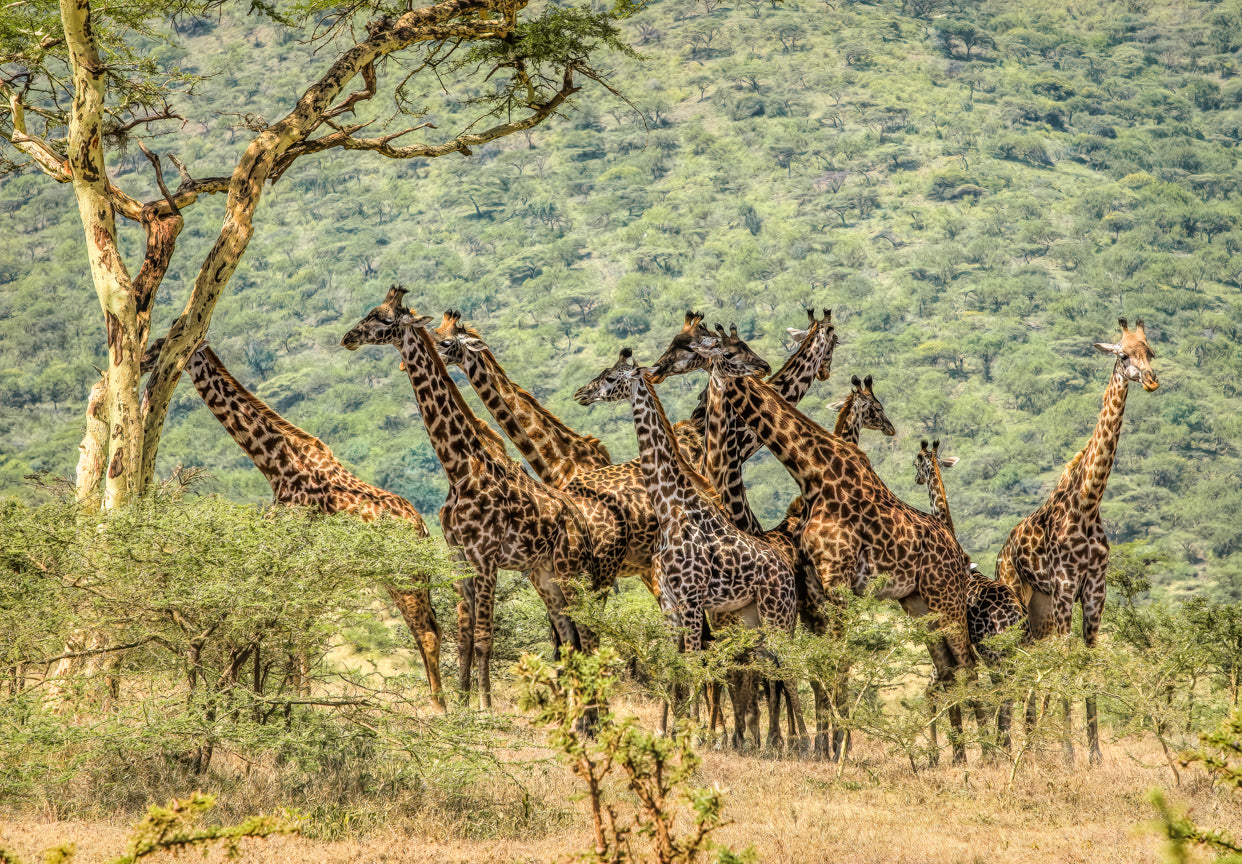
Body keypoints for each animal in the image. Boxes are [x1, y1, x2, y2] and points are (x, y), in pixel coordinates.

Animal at [148, 337, 447, 710]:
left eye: (164, 343)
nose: (145, 360)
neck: (277, 462)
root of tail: (422, 528)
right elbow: (298, 618)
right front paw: (295, 694)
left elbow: (295, 619)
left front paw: (298, 699)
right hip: (409, 576)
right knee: (432, 627)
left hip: (403, 576)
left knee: (426, 631)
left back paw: (439, 708)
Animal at [340, 288, 611, 710]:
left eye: (383, 319)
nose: (348, 337)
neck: (460, 468)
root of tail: (580, 524)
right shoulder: (458, 557)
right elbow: (464, 637)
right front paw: (462, 706)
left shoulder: (485, 557)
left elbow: (484, 636)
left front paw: (484, 707)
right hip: (545, 574)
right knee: (570, 637)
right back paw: (577, 705)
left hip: (573, 571)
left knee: (590, 634)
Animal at [573, 345, 799, 749]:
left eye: (612, 377)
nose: (583, 393)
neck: (669, 507)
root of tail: (788, 572)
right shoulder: (669, 602)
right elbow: (671, 664)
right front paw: (669, 730)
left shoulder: (692, 600)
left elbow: (694, 663)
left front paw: (695, 736)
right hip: (753, 618)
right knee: (770, 666)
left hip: (778, 615)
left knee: (790, 669)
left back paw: (811, 742)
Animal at [710, 364, 978, 764]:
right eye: (878, 407)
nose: (890, 427)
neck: (815, 474)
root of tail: (957, 548)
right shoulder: (821, 594)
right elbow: (827, 665)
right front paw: (831, 744)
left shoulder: (836, 585)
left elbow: (836, 663)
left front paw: (836, 745)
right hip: (918, 605)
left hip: (945, 600)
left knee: (965, 666)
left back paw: (990, 751)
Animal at [993, 317, 1157, 764]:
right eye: (1123, 354)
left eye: (1151, 352)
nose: (1152, 380)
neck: (1088, 501)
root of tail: (1000, 554)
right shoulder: (1067, 587)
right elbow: (1067, 663)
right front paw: (1068, 752)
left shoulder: (1095, 588)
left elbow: (1088, 663)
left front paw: (1094, 754)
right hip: (1020, 598)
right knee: (1017, 659)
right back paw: (1013, 746)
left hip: (1039, 611)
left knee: (1030, 656)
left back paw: (1030, 745)